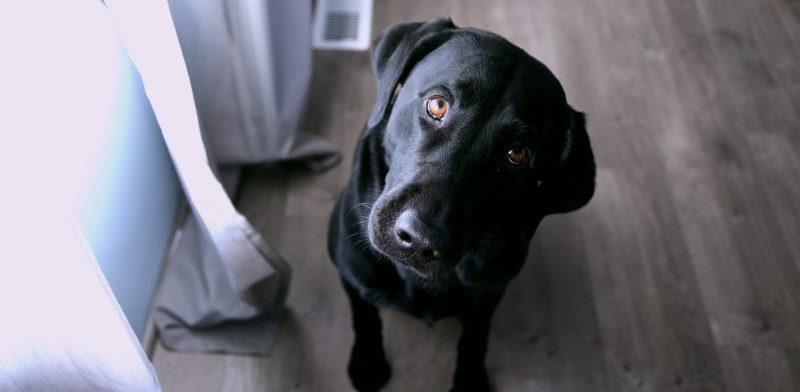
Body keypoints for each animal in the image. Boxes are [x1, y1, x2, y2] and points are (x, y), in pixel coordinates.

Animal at [324, 19, 592, 392]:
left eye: (517, 154)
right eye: (438, 105)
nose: (419, 239)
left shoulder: (490, 291)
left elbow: (475, 336)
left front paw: (470, 379)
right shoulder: (351, 272)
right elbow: (364, 315)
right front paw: (368, 361)